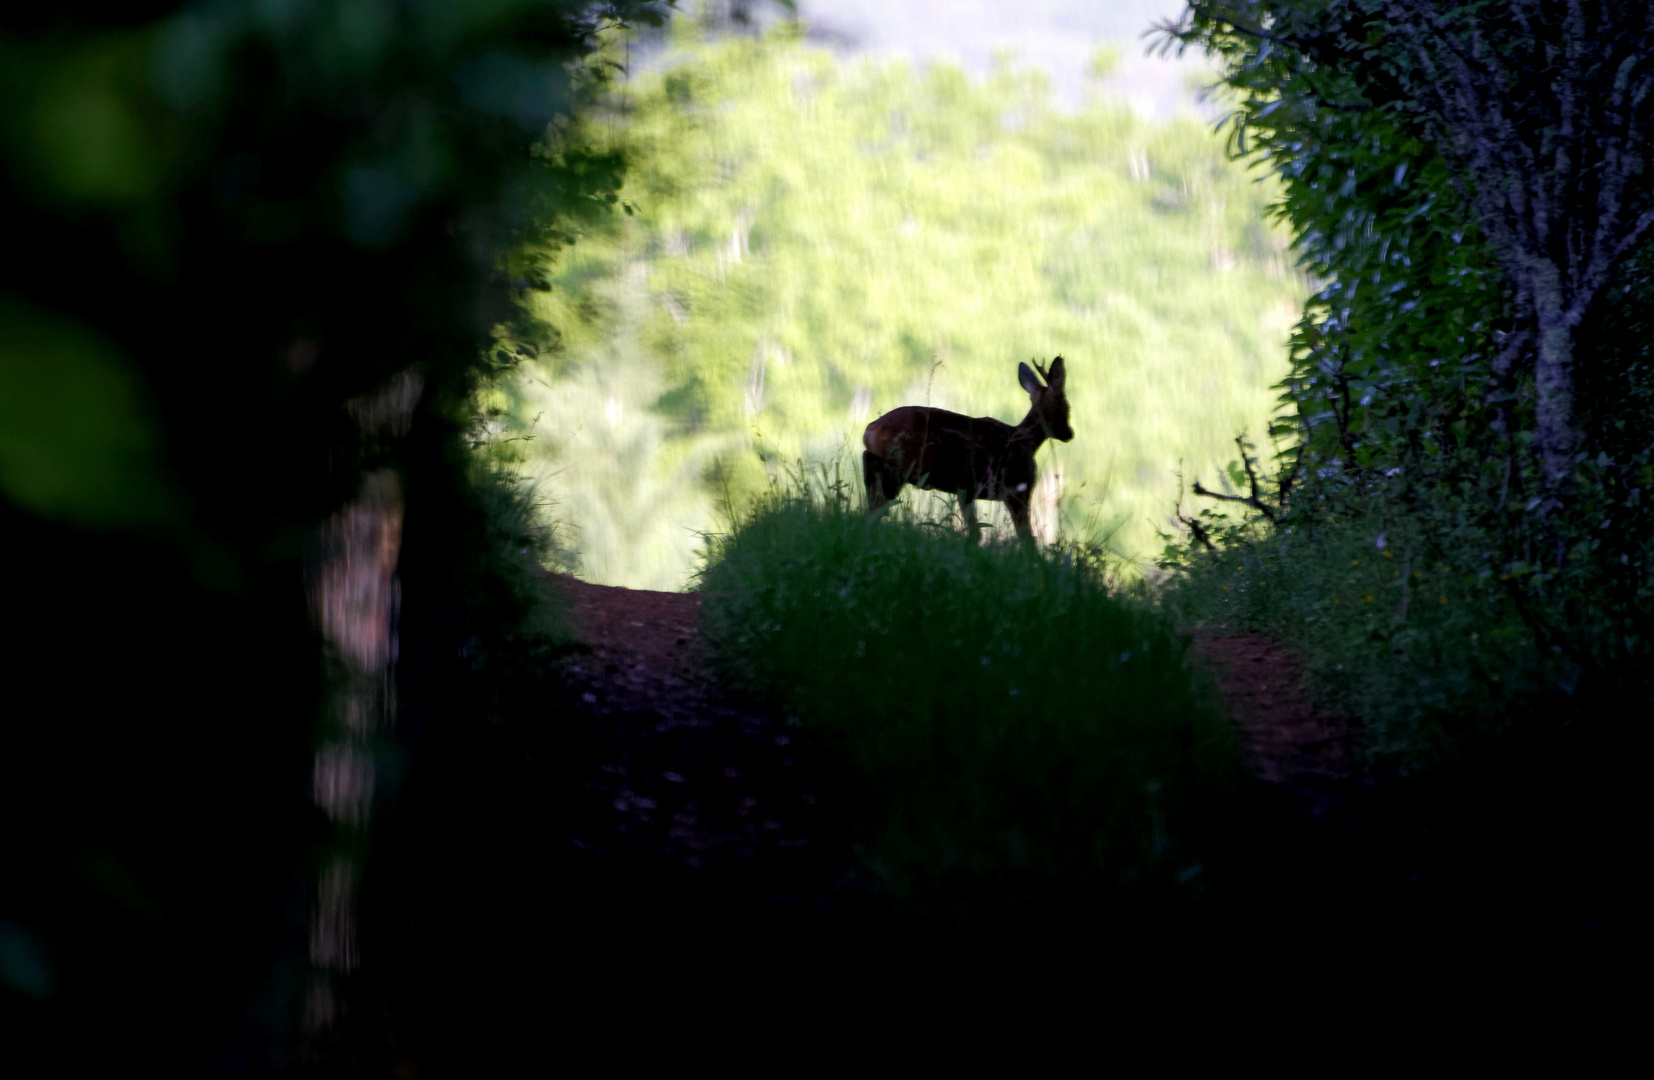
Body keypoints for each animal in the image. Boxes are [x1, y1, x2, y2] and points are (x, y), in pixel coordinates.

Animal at [860, 355, 1078, 542]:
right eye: (1067, 407)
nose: (1069, 433)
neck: (1025, 440)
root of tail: (870, 429)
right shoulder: (1016, 489)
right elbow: (1026, 539)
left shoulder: (966, 491)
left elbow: (976, 533)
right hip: (897, 469)